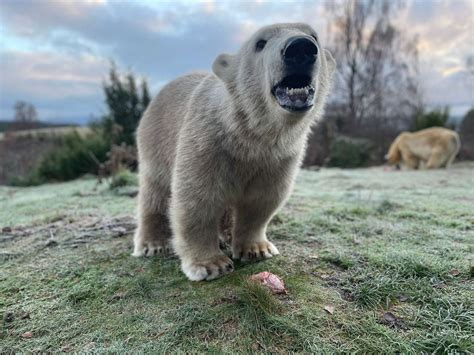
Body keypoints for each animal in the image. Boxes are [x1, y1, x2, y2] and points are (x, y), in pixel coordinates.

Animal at [131, 23, 336, 282]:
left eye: (314, 36)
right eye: (260, 43)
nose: (300, 48)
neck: (248, 135)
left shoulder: (278, 156)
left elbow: (262, 199)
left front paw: (256, 249)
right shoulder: (206, 143)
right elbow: (197, 199)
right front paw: (210, 264)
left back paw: (226, 234)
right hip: (155, 139)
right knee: (155, 191)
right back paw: (152, 244)